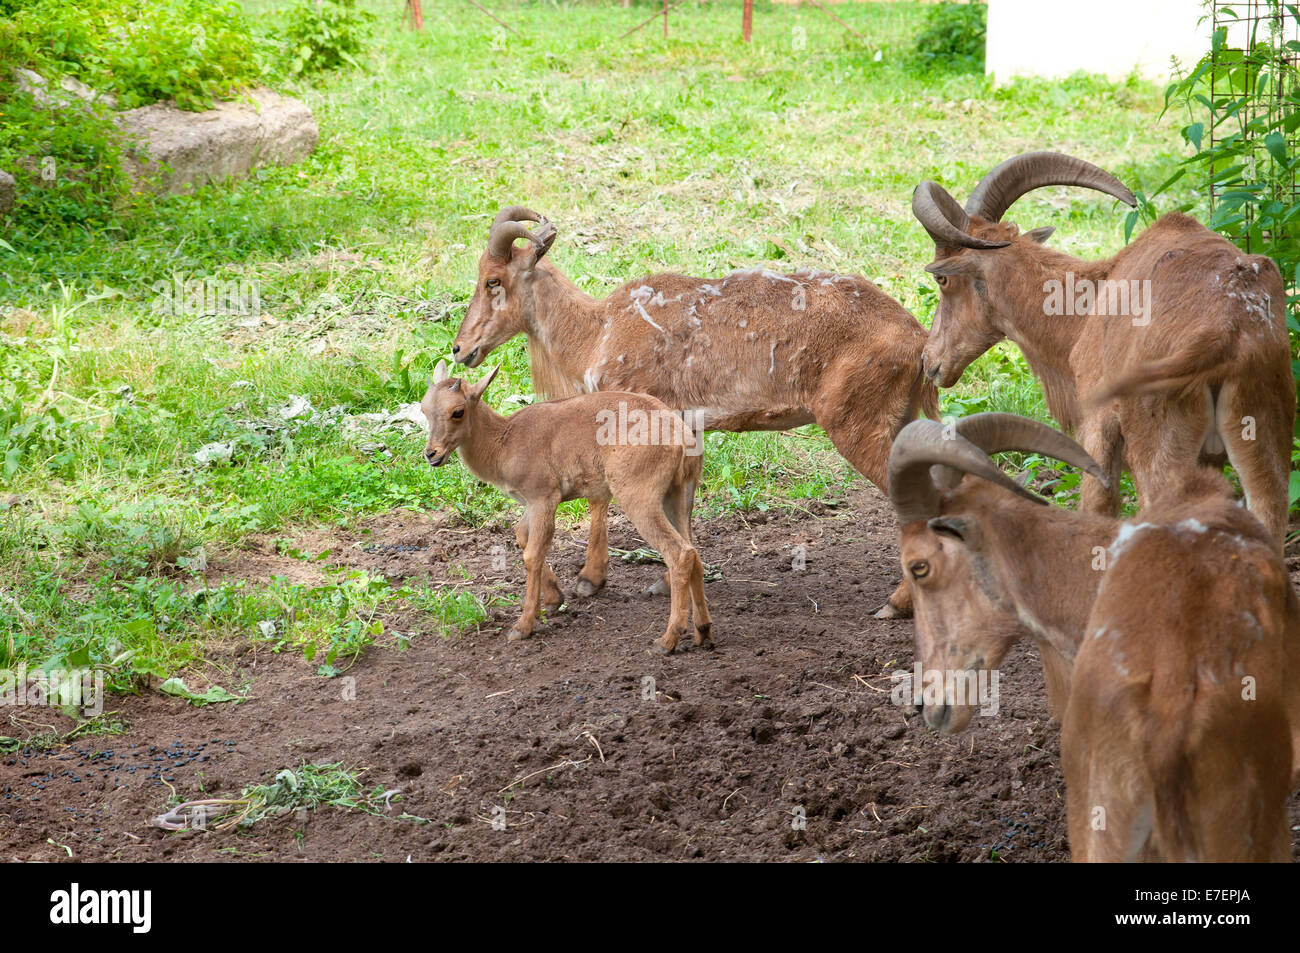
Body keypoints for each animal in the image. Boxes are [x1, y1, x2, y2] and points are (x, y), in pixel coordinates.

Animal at [423, 358, 712, 655]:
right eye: (424, 408)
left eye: (457, 411)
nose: (431, 454)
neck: (504, 443)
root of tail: (681, 437)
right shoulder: (531, 504)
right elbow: (521, 535)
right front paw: (553, 599)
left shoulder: (543, 497)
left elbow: (533, 554)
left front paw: (523, 626)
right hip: (677, 495)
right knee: (693, 551)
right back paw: (703, 632)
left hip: (640, 498)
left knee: (679, 553)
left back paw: (666, 640)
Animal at [452, 204, 941, 616]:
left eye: (493, 281)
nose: (460, 349)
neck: (596, 331)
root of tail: (918, 341)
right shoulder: (687, 430)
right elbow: (681, 506)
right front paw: (666, 582)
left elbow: (601, 497)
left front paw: (590, 580)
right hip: (902, 420)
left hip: (856, 424)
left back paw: (897, 602)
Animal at [909, 148, 1294, 551]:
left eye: (942, 279)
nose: (929, 361)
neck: (1087, 301)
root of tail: (1226, 331)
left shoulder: (1096, 425)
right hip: (1265, 434)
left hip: (1160, 450)